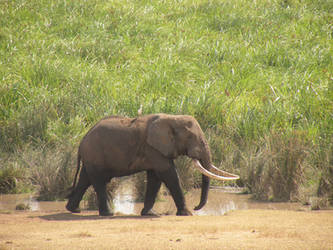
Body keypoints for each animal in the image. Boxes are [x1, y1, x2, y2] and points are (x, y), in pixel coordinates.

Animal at [65, 114, 239, 216]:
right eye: (192, 138)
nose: (197, 207)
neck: (172, 118)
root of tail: (82, 141)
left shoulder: (155, 151)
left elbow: (155, 178)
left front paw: (150, 214)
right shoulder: (153, 149)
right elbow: (168, 174)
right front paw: (187, 213)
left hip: (91, 158)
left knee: (85, 179)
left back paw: (73, 209)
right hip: (95, 154)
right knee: (98, 181)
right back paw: (107, 214)